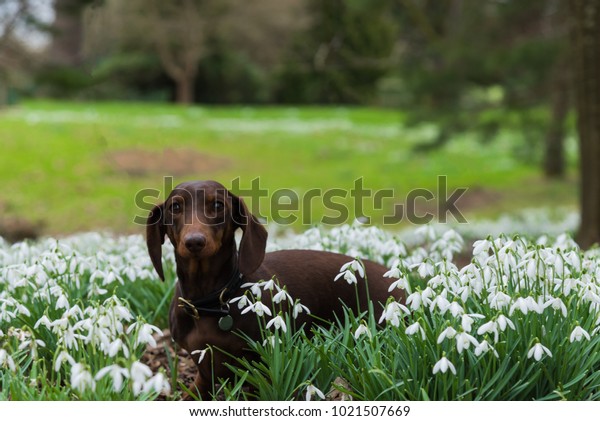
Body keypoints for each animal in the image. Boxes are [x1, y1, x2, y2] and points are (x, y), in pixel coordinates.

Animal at [145, 180, 404, 398]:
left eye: (217, 205)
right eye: (175, 207)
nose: (194, 242)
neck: (210, 302)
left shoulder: (256, 368)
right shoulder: (204, 370)